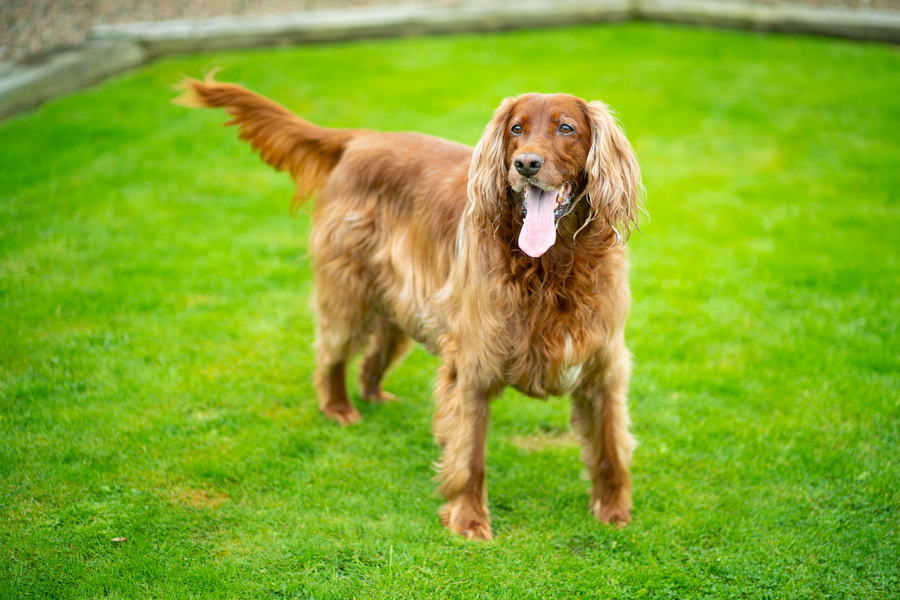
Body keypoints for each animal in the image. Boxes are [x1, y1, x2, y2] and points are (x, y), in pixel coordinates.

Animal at [176, 77, 644, 540]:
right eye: (516, 129)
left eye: (566, 128)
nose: (525, 163)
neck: (551, 265)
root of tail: (362, 140)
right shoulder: (473, 361)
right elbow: (470, 455)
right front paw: (470, 520)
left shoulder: (604, 361)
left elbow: (610, 448)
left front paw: (614, 513)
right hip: (349, 288)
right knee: (331, 352)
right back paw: (339, 407)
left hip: (403, 297)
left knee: (373, 353)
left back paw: (373, 394)